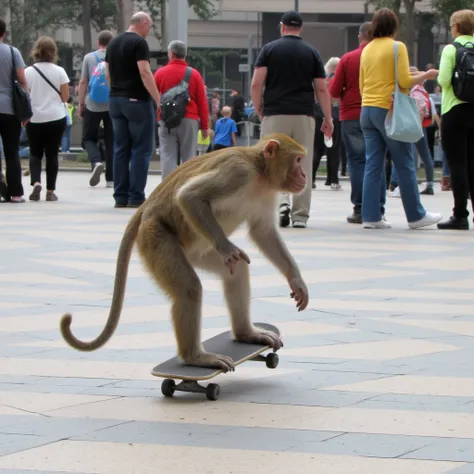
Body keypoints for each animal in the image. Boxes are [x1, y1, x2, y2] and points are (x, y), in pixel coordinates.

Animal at [59, 131, 310, 372]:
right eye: (298, 160)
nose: (305, 175)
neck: (259, 172)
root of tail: (145, 209)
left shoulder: (268, 192)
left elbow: (263, 233)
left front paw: (296, 280)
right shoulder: (238, 171)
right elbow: (189, 196)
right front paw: (227, 248)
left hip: (198, 252)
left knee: (236, 270)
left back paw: (246, 334)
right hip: (155, 239)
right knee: (189, 288)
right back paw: (195, 358)